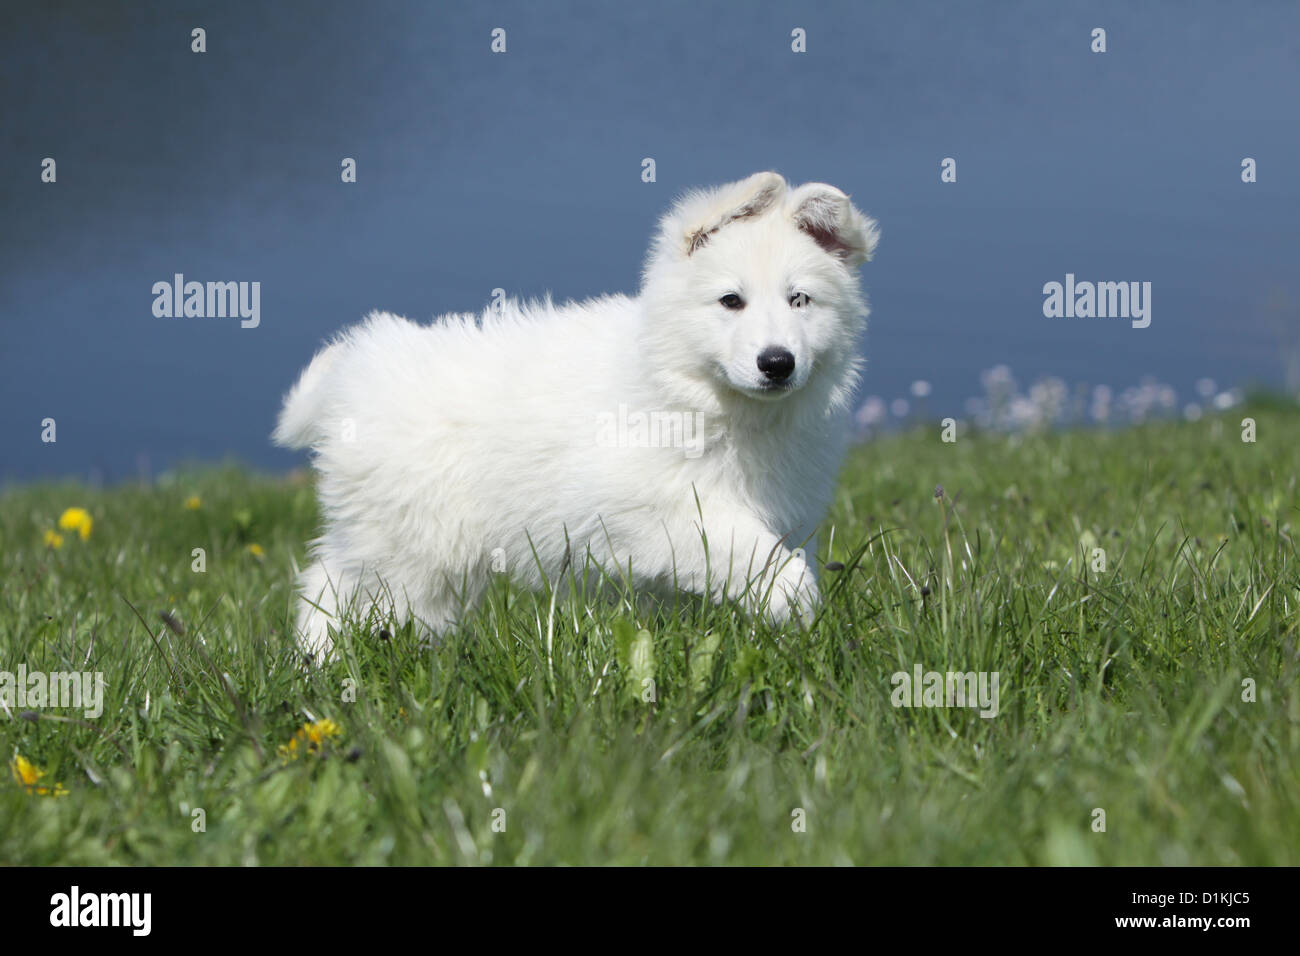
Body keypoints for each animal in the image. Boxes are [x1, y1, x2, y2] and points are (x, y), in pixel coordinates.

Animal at [278, 171, 878, 658]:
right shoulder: (648, 507)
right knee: (343, 590)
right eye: (731, 301)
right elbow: (746, 549)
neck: (693, 391)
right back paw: (328, 664)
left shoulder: (785, 508)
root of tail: (355, 367)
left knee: (328, 581)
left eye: (800, 300)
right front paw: (795, 601)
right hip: (415, 549)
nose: (777, 363)